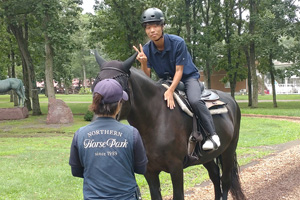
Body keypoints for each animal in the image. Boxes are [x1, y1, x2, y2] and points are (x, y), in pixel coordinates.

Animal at [93, 51, 246, 200]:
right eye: (95, 84)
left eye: (117, 88)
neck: (155, 120)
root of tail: (231, 100)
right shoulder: (149, 171)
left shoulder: (176, 167)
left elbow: (178, 195)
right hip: (206, 156)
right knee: (215, 176)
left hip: (229, 150)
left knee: (225, 181)